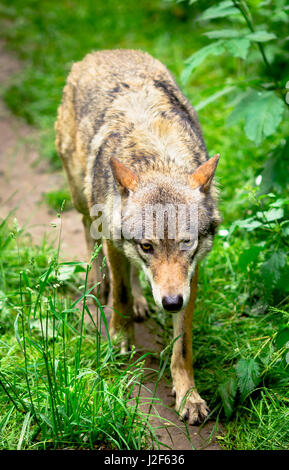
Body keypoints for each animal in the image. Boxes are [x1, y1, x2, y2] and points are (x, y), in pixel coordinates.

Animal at [54, 48, 220, 426]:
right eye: (147, 246)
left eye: (186, 243)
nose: (170, 303)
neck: (157, 157)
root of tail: (104, 51)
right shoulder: (115, 244)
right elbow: (121, 296)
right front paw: (120, 340)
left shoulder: (191, 274)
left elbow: (182, 345)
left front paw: (188, 395)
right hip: (82, 200)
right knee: (92, 244)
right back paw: (99, 285)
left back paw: (145, 302)